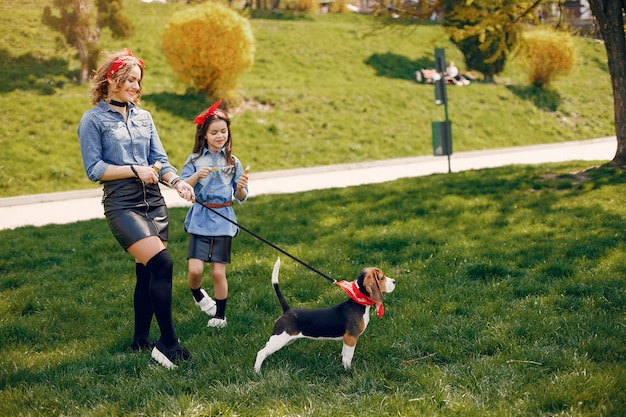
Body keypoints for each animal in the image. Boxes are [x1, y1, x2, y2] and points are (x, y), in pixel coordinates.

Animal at [254, 256, 394, 370]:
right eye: (381, 277)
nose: (394, 281)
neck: (358, 302)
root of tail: (287, 310)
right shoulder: (351, 338)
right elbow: (348, 357)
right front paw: (348, 371)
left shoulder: (346, 339)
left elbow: (344, 354)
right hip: (280, 338)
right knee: (261, 353)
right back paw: (257, 372)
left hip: (283, 339)